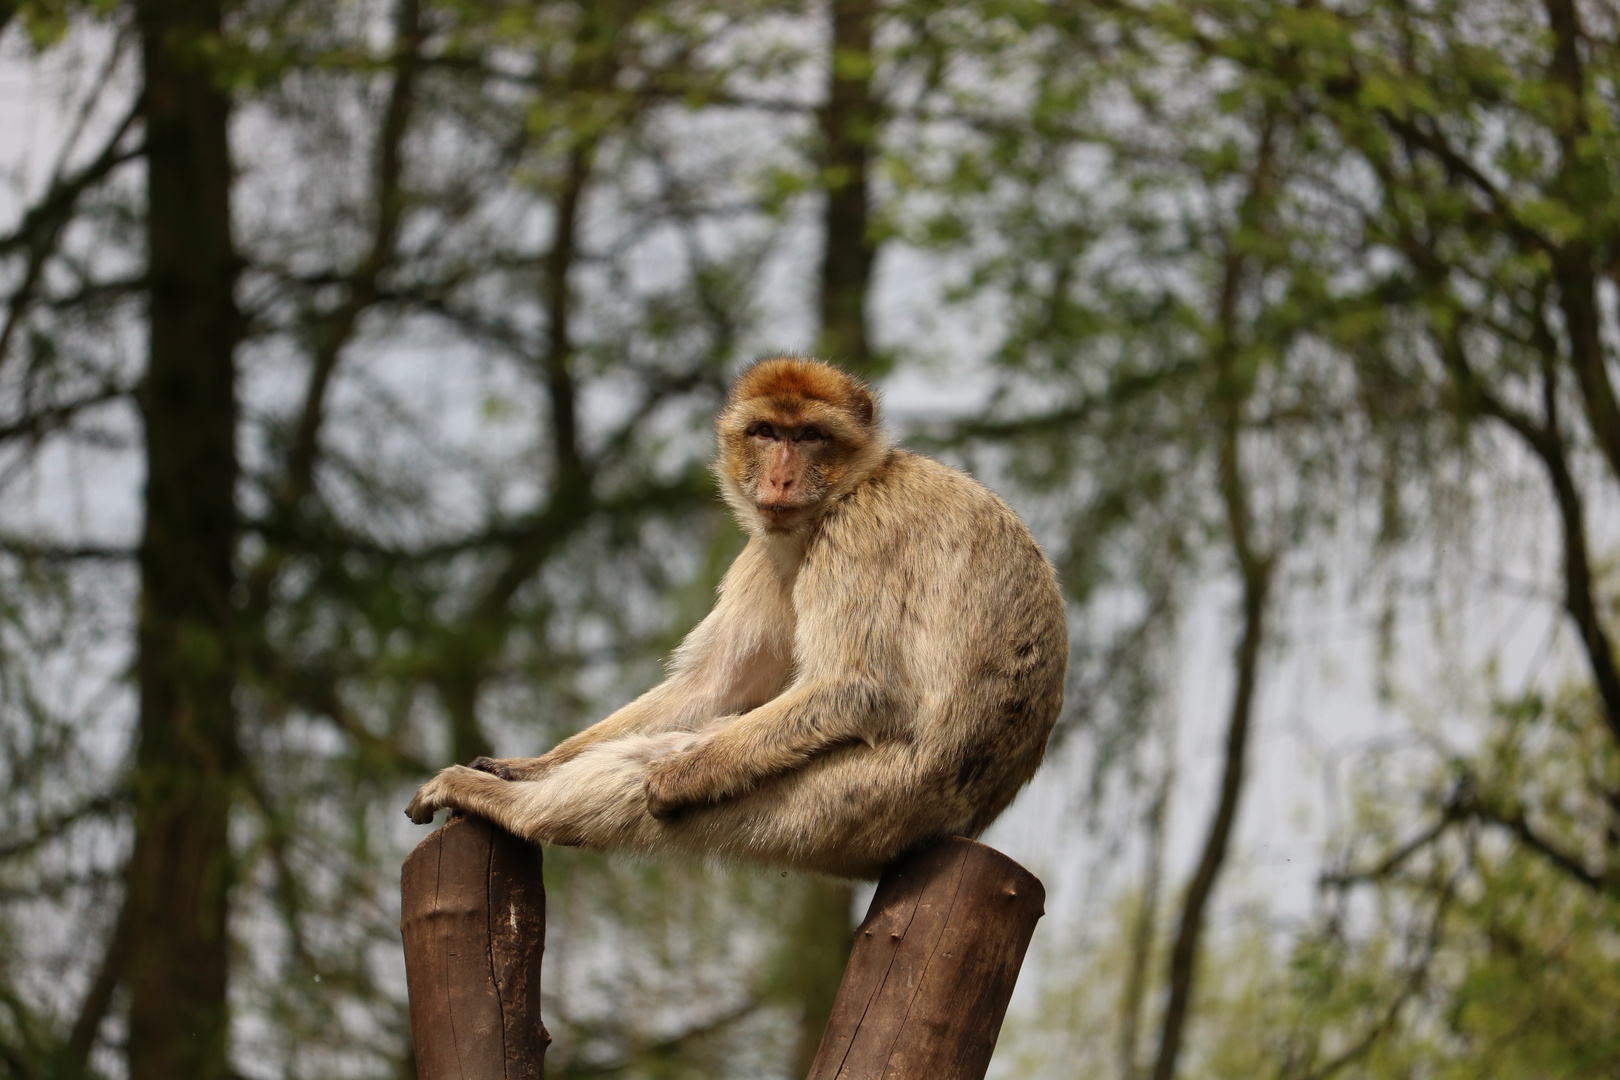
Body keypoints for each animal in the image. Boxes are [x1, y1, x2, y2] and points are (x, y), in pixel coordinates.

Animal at [405, 359, 1062, 880]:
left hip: (852, 800)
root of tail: (957, 825)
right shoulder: (767, 555)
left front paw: (673, 778)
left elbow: (856, 686)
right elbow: (714, 684)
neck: (849, 490)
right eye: (766, 432)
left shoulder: (859, 534)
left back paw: (510, 806)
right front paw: (528, 765)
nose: (780, 477)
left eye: (810, 436)